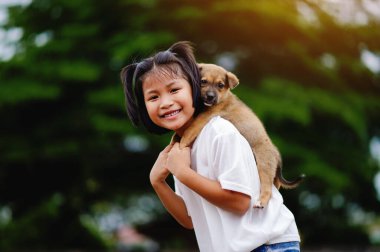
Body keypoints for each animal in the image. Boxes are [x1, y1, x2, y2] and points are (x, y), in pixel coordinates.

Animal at [179, 63, 306, 209]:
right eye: (203, 81)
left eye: (220, 85)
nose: (210, 97)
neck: (223, 97)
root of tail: (276, 154)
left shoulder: (204, 117)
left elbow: (189, 130)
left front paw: (180, 145)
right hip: (274, 177)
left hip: (264, 167)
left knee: (267, 190)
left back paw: (261, 202)